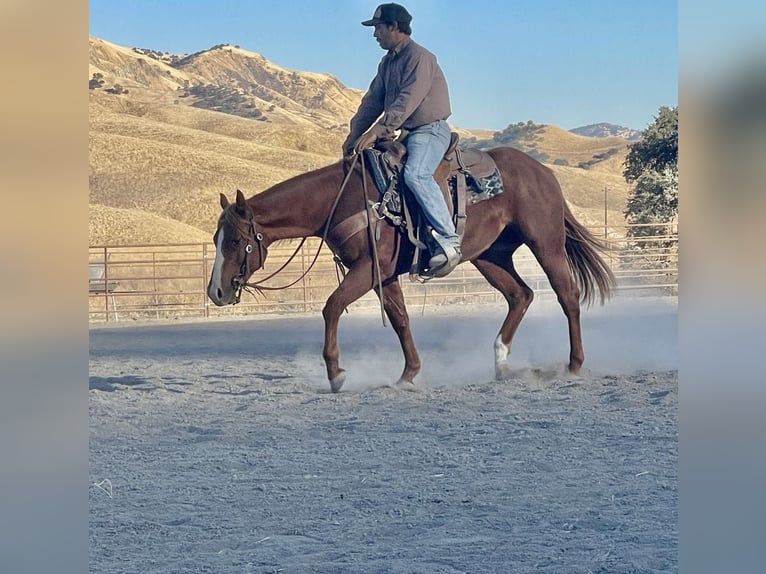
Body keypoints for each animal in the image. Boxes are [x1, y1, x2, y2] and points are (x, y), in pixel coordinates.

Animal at [207, 145, 616, 392]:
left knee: (567, 295)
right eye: (215, 238)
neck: (343, 200)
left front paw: (336, 374)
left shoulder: (369, 268)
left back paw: (574, 364)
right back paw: (500, 362)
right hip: (490, 255)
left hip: (546, 244)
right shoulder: (383, 275)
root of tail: (543, 171)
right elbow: (400, 318)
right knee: (521, 295)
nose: (216, 292)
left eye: (234, 242)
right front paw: (409, 373)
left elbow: (332, 306)